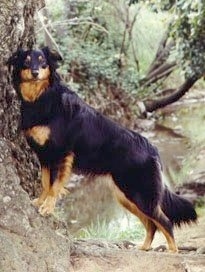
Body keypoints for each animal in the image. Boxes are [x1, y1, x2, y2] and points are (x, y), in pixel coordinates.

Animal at [8, 47, 197, 253]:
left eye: (42, 60)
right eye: (26, 60)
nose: (35, 72)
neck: (42, 96)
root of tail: (153, 149)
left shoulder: (61, 153)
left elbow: (54, 185)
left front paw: (47, 207)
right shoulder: (44, 155)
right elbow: (44, 182)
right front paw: (40, 201)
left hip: (139, 194)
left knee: (165, 221)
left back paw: (172, 250)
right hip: (126, 195)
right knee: (151, 224)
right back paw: (144, 247)